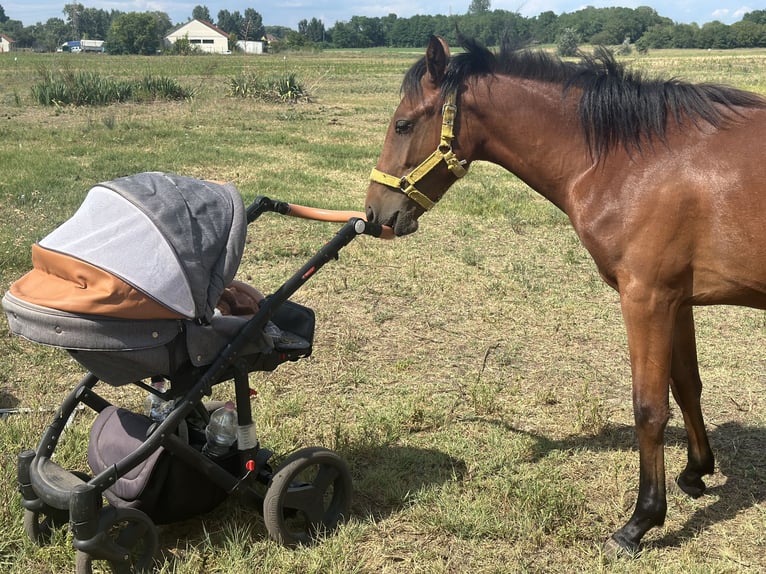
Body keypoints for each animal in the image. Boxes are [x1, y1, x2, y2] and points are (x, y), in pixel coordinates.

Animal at [364, 33, 766, 556]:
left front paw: (640, 521)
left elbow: (649, 408)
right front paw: (696, 472)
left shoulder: (647, 299)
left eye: (404, 124)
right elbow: (687, 387)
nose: (375, 213)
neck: (636, 160)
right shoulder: (678, 301)